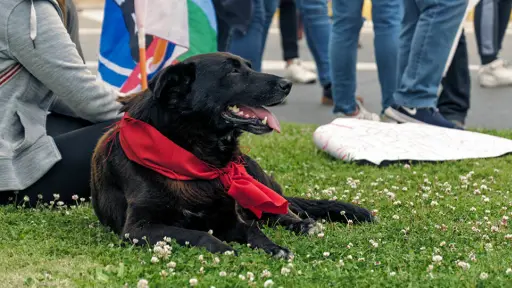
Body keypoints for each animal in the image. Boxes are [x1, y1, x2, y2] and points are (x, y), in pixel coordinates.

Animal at [91, 52, 372, 258]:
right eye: (233, 71)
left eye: (249, 66)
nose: (287, 84)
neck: (194, 157)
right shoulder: (138, 228)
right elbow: (199, 233)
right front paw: (224, 248)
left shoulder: (229, 217)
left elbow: (254, 230)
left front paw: (274, 248)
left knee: (282, 209)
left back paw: (301, 223)